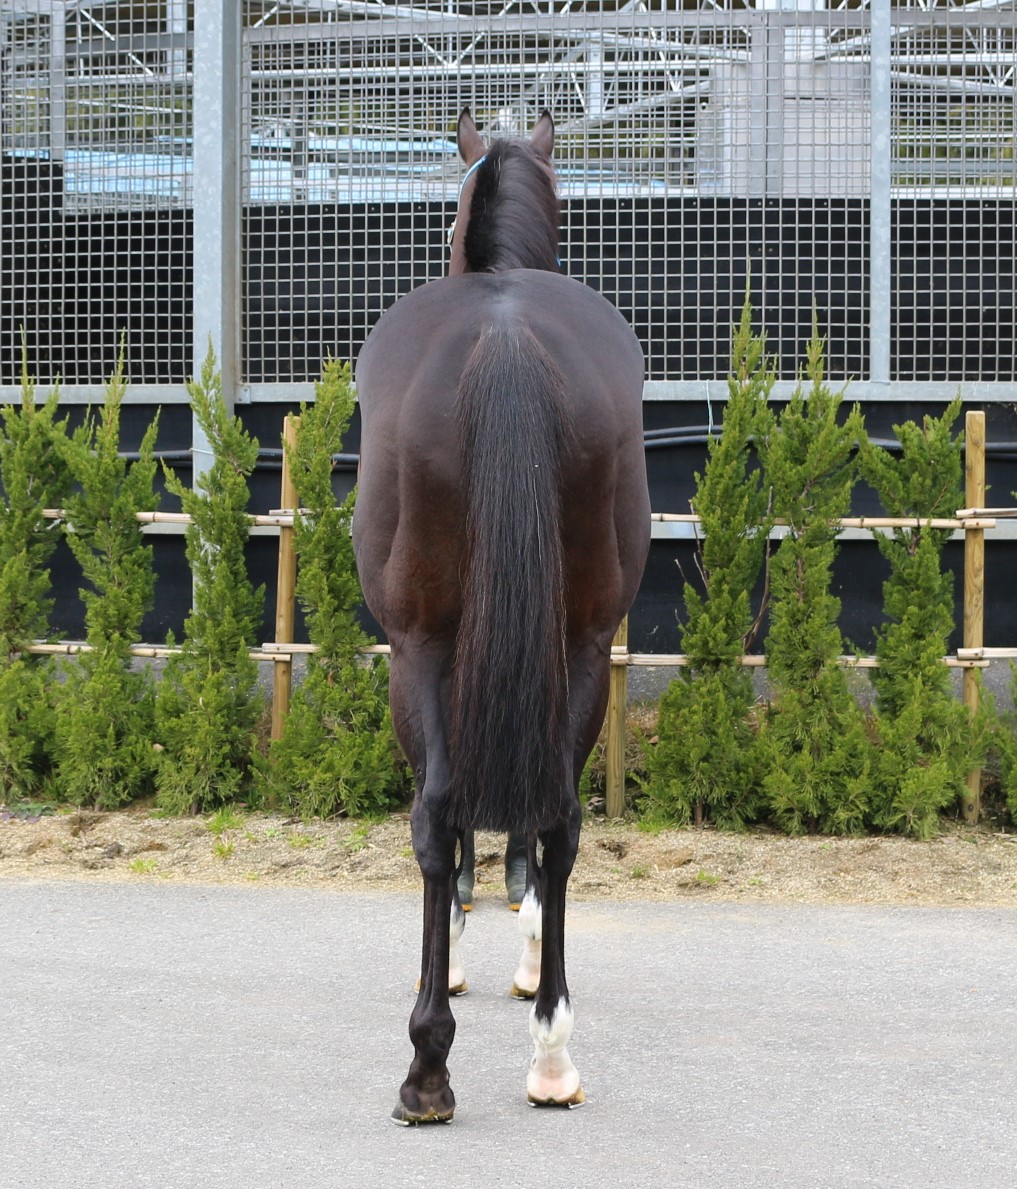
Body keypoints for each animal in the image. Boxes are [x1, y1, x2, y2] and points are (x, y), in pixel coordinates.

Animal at [352, 108, 650, 1124]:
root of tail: (507, 340)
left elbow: (449, 822)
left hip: (418, 646)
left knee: (435, 813)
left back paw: (427, 1066)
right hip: (581, 642)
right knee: (558, 819)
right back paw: (551, 1053)